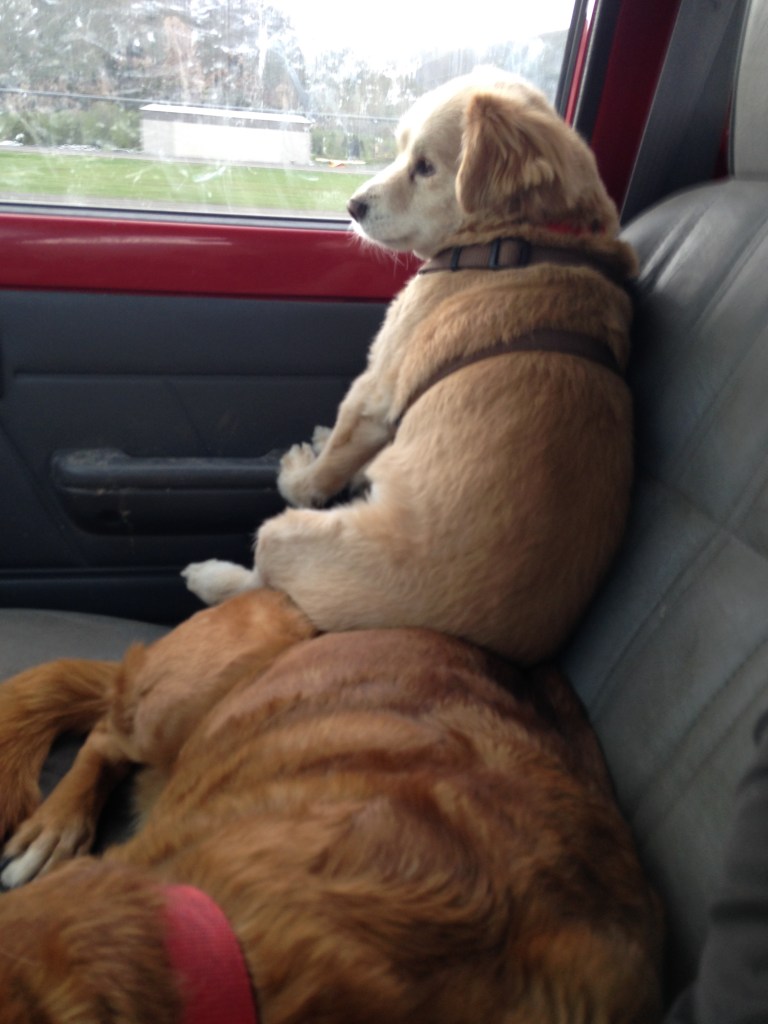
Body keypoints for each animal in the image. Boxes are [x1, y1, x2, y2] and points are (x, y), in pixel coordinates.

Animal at [183, 69, 637, 665]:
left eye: (425, 166)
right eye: (400, 151)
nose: (352, 205)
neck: (521, 238)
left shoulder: (375, 387)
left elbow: (326, 468)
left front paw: (306, 469)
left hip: (290, 533)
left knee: (263, 579)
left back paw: (215, 571)